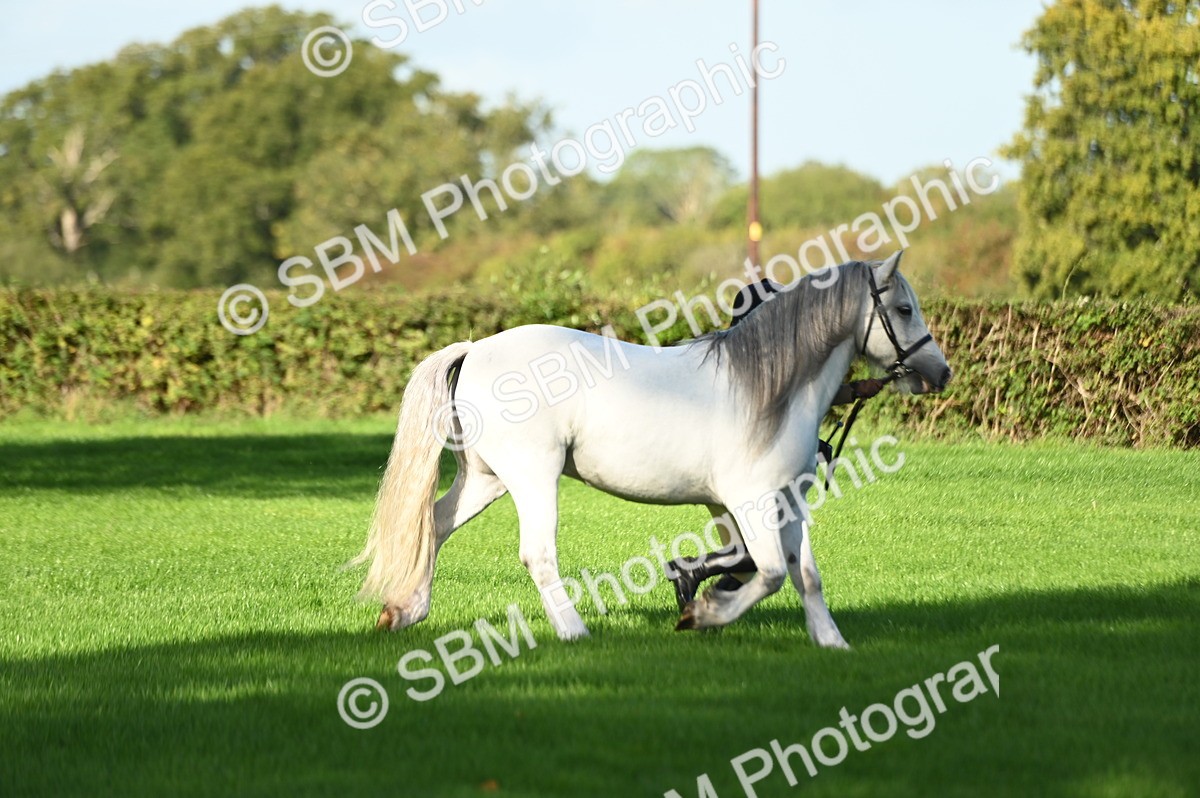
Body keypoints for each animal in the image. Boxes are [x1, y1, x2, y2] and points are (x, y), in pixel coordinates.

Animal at [353, 251, 951, 648]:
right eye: (902, 308)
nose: (939, 372)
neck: (770, 387)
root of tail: (476, 348)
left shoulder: (789, 500)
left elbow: (804, 574)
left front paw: (830, 641)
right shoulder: (750, 500)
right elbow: (770, 572)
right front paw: (701, 616)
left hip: (486, 478)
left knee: (434, 525)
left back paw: (404, 611)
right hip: (532, 477)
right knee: (537, 553)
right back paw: (574, 631)